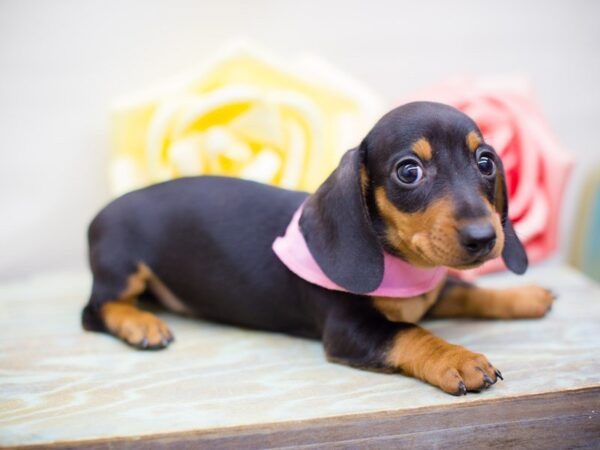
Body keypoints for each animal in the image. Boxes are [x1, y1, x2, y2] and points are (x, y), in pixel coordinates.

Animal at [81, 101, 552, 394]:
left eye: (485, 162)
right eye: (409, 171)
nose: (484, 237)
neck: (403, 266)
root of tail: (101, 212)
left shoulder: (433, 292)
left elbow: (469, 292)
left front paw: (525, 296)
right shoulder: (349, 329)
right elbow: (410, 333)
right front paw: (456, 357)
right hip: (122, 268)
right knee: (95, 311)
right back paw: (140, 324)